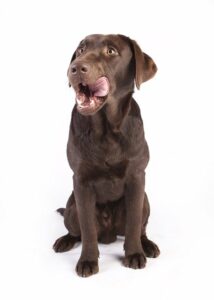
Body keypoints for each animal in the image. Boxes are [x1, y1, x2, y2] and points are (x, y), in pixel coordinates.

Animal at [53, 34, 160, 276]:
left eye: (111, 51)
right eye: (81, 50)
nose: (75, 67)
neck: (106, 130)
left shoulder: (137, 177)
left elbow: (133, 225)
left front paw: (134, 254)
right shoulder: (81, 182)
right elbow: (88, 230)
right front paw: (87, 260)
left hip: (145, 201)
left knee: (140, 227)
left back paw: (147, 245)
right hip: (71, 207)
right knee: (76, 231)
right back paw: (65, 241)